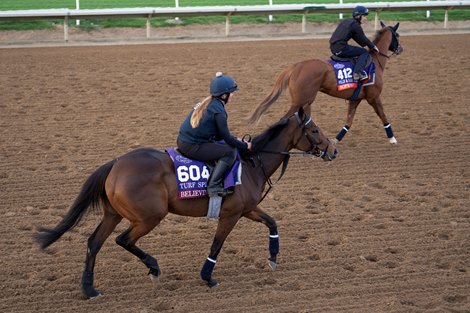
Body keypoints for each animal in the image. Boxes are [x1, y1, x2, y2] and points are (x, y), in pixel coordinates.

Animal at [35, 108, 338, 298]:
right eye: (314, 129)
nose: (333, 150)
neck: (252, 163)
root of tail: (116, 163)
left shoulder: (248, 209)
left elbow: (272, 222)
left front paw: (273, 256)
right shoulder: (231, 214)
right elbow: (217, 244)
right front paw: (207, 276)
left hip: (113, 214)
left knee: (93, 243)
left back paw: (89, 289)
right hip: (149, 216)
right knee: (123, 240)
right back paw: (153, 267)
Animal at [250, 21, 404, 144]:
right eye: (397, 35)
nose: (401, 49)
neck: (374, 61)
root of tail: (296, 67)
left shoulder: (355, 99)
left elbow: (349, 121)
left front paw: (335, 140)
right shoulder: (374, 97)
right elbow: (383, 116)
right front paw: (393, 139)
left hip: (304, 103)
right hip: (302, 102)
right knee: (287, 119)